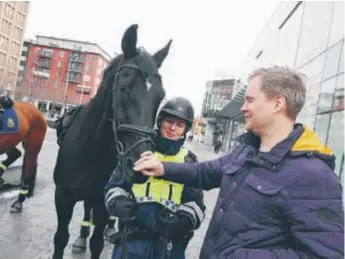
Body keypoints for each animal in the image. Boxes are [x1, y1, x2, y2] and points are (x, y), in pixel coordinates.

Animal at [52, 23, 171, 258]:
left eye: (160, 97)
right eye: (124, 88)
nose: (140, 165)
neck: (90, 149)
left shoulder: (102, 200)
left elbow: (97, 241)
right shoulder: (62, 196)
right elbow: (60, 238)